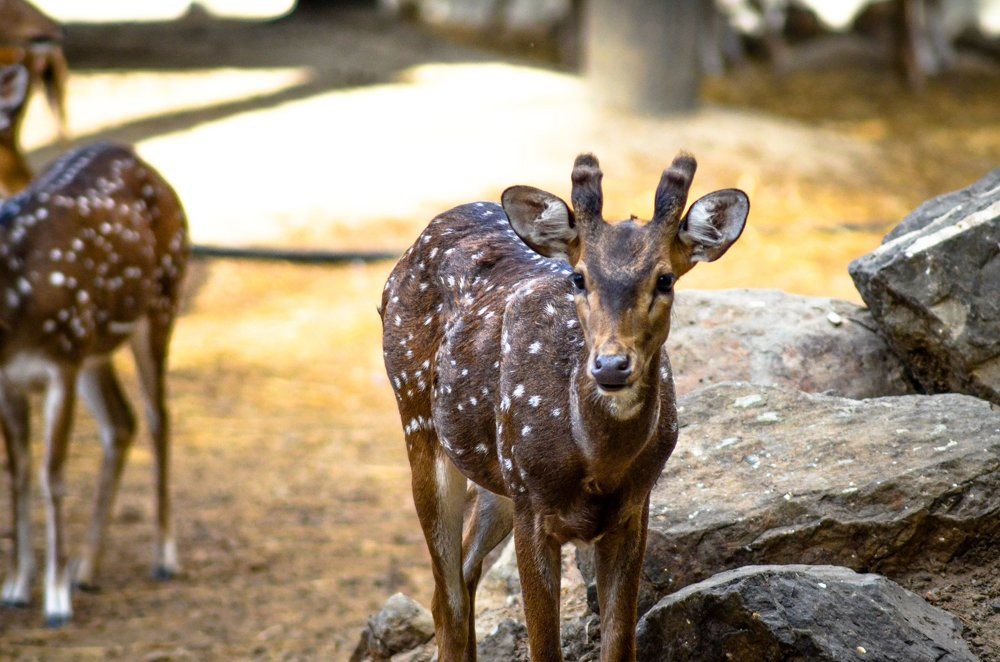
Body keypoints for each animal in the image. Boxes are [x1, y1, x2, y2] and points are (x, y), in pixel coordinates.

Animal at [0, 65, 188, 626]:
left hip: (159, 305)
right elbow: (18, 473)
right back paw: (87, 567)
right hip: (95, 346)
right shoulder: (8, 377)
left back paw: (162, 557)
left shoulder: (60, 361)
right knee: (120, 422)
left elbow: (53, 474)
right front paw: (16, 586)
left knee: (157, 417)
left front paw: (55, 599)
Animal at [380, 152, 748, 660]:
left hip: (497, 473)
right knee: (446, 596)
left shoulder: (634, 506)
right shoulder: (533, 509)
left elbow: (619, 643)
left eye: (665, 279)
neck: (598, 464)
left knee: (465, 573)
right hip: (418, 418)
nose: (611, 364)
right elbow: (544, 647)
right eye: (579, 277)